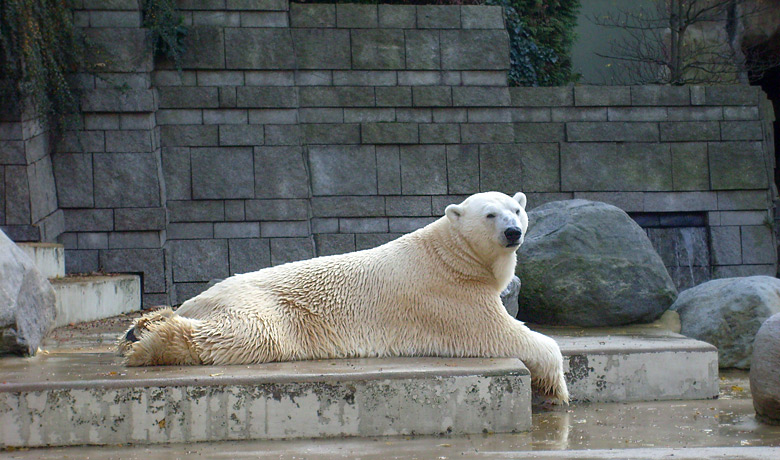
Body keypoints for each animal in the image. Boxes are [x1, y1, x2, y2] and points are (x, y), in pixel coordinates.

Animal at [117, 190, 568, 402]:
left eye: (517, 209)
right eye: (490, 214)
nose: (513, 232)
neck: (449, 253)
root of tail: (202, 297)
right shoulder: (453, 296)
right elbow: (507, 333)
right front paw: (555, 390)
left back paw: (141, 326)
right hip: (268, 308)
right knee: (251, 334)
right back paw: (150, 344)